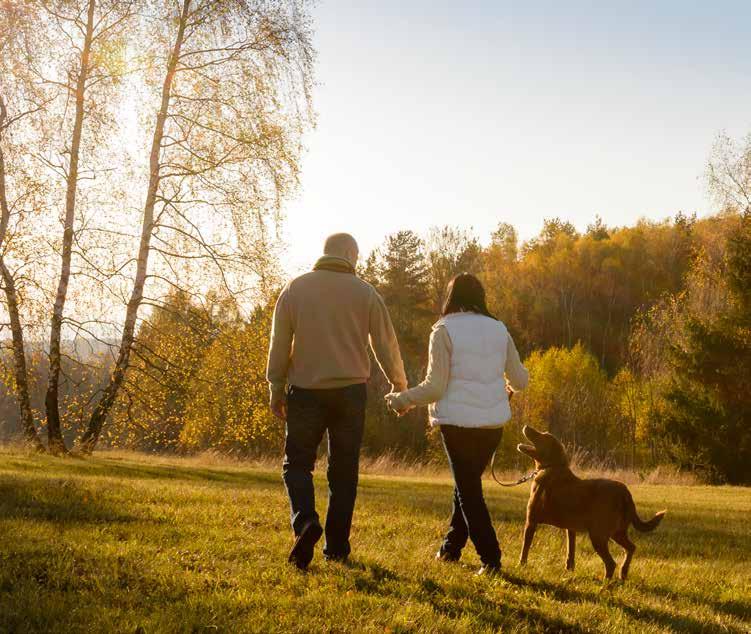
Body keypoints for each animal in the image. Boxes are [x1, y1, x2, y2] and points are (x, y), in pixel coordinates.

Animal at [516, 424, 664, 576]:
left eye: (542, 436)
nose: (526, 426)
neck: (550, 467)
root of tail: (625, 493)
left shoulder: (531, 521)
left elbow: (525, 549)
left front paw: (521, 566)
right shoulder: (571, 528)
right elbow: (571, 552)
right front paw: (569, 570)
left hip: (598, 535)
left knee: (611, 563)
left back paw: (606, 581)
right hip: (617, 532)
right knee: (631, 548)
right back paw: (623, 573)